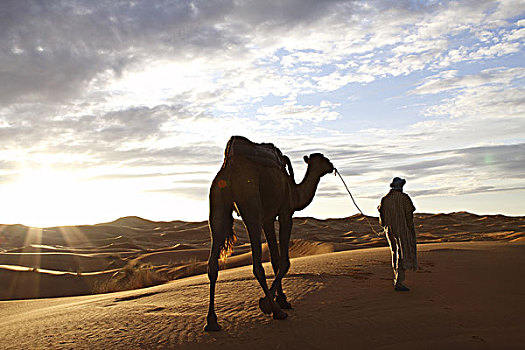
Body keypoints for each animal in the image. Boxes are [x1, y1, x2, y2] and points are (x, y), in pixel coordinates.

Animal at [205, 136, 332, 330]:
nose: (332, 166)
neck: (294, 191)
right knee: (257, 265)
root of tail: (229, 167)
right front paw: (270, 303)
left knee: (213, 262)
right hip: (251, 203)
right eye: (323, 159)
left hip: (217, 202)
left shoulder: (268, 219)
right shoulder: (285, 212)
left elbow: (275, 260)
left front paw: (282, 299)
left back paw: (212, 321)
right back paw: (277, 312)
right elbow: (284, 261)